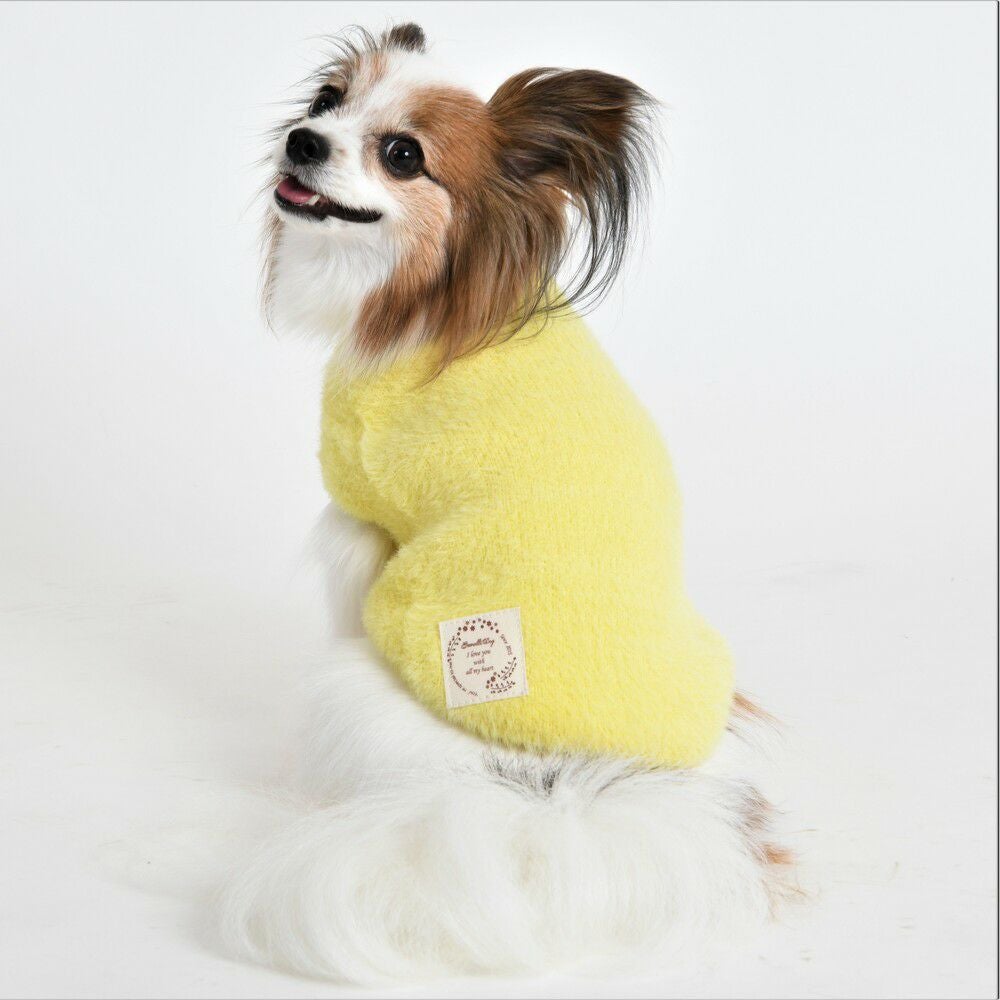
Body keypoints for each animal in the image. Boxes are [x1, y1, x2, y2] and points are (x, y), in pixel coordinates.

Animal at [220, 23, 792, 983]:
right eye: (327, 102)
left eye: (403, 155)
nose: (302, 141)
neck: (423, 299)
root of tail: (565, 780)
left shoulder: (360, 529)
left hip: (362, 686)